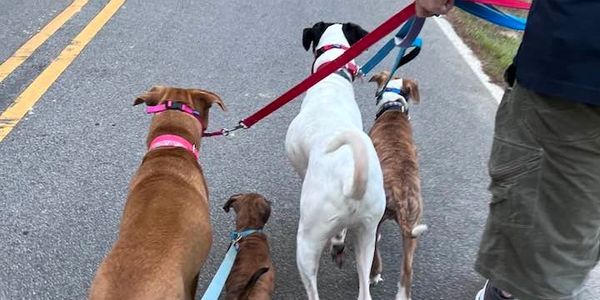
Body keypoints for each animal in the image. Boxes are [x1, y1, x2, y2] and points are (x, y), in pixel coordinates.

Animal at [366, 72, 426, 300]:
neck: (393, 108)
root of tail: (401, 195)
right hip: (413, 230)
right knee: (407, 271)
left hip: (376, 220)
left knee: (374, 252)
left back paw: (374, 274)